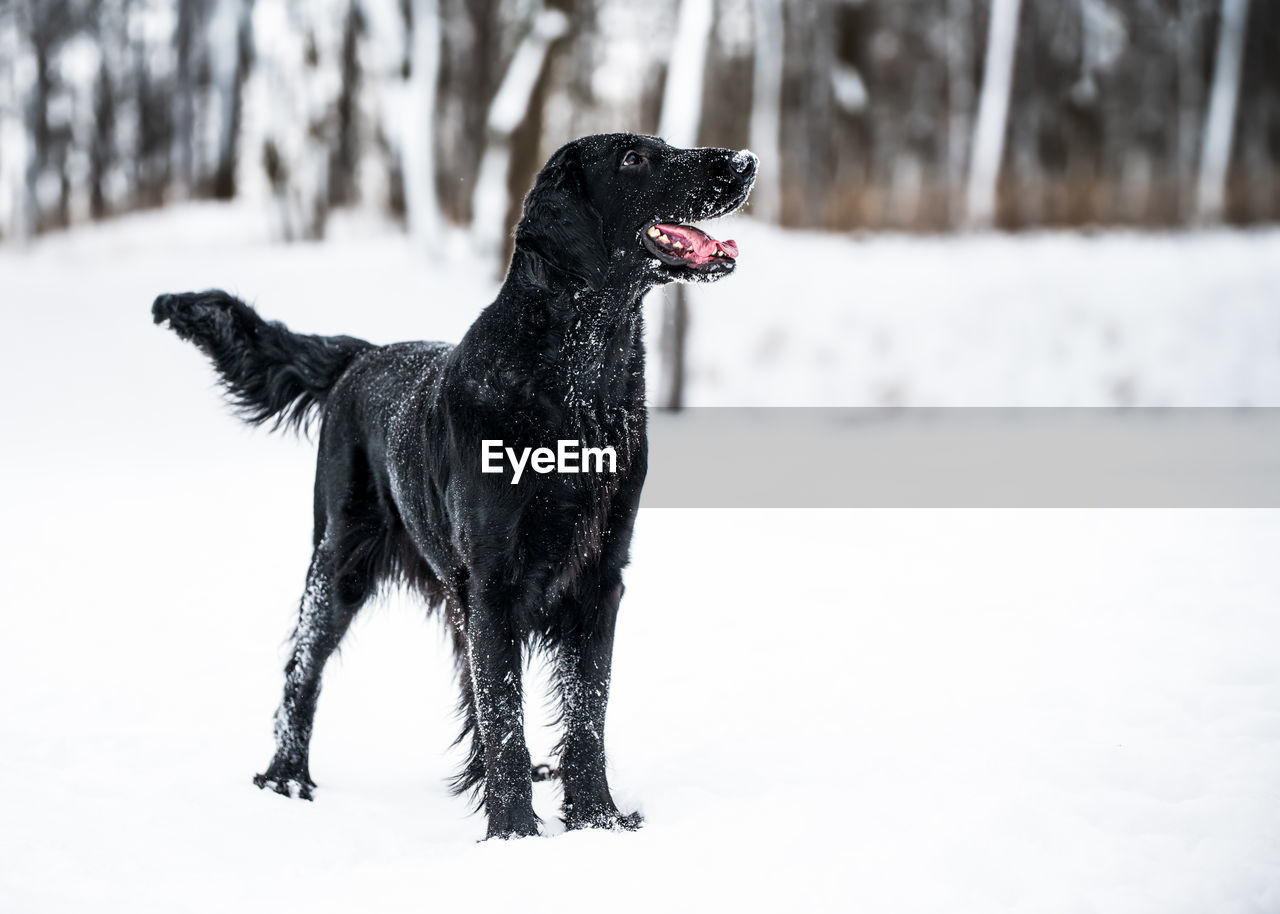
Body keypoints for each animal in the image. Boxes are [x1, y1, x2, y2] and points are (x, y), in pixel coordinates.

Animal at [153, 131, 752, 834]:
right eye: (633, 159)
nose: (745, 161)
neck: (575, 393)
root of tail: (363, 355)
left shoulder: (599, 577)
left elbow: (585, 711)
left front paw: (596, 820)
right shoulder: (493, 579)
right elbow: (506, 713)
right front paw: (515, 833)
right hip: (340, 561)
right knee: (303, 668)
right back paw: (287, 777)